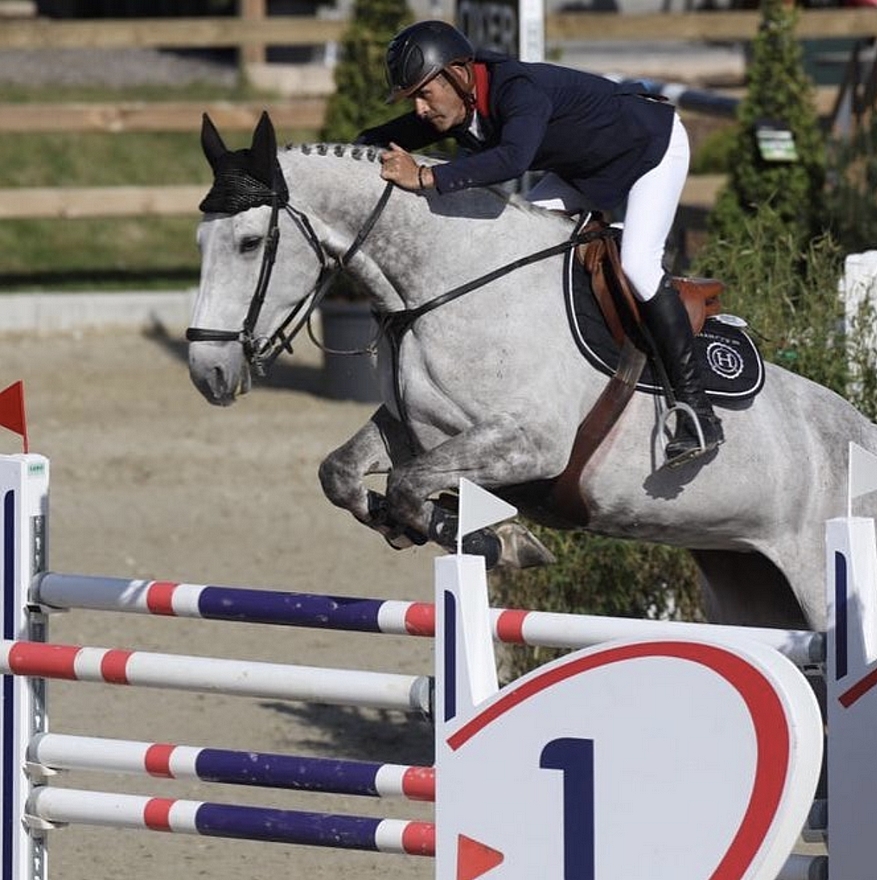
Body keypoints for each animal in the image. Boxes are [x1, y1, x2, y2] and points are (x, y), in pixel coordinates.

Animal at [186, 111, 876, 632]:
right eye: (200, 242)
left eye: (250, 243)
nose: (207, 371)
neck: (449, 284)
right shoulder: (417, 428)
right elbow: (342, 473)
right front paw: (418, 524)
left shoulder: (530, 445)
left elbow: (411, 485)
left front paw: (498, 541)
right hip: (749, 581)